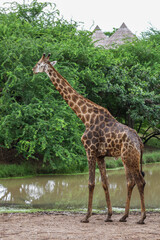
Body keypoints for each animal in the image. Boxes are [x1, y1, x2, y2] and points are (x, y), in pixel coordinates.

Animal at [32, 53, 146, 224]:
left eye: (39, 64)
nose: (33, 69)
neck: (85, 117)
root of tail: (139, 140)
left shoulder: (89, 150)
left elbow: (91, 183)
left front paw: (86, 216)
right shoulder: (100, 155)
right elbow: (105, 183)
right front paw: (109, 215)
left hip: (129, 157)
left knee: (139, 181)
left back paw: (141, 218)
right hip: (129, 158)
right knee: (132, 181)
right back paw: (124, 216)